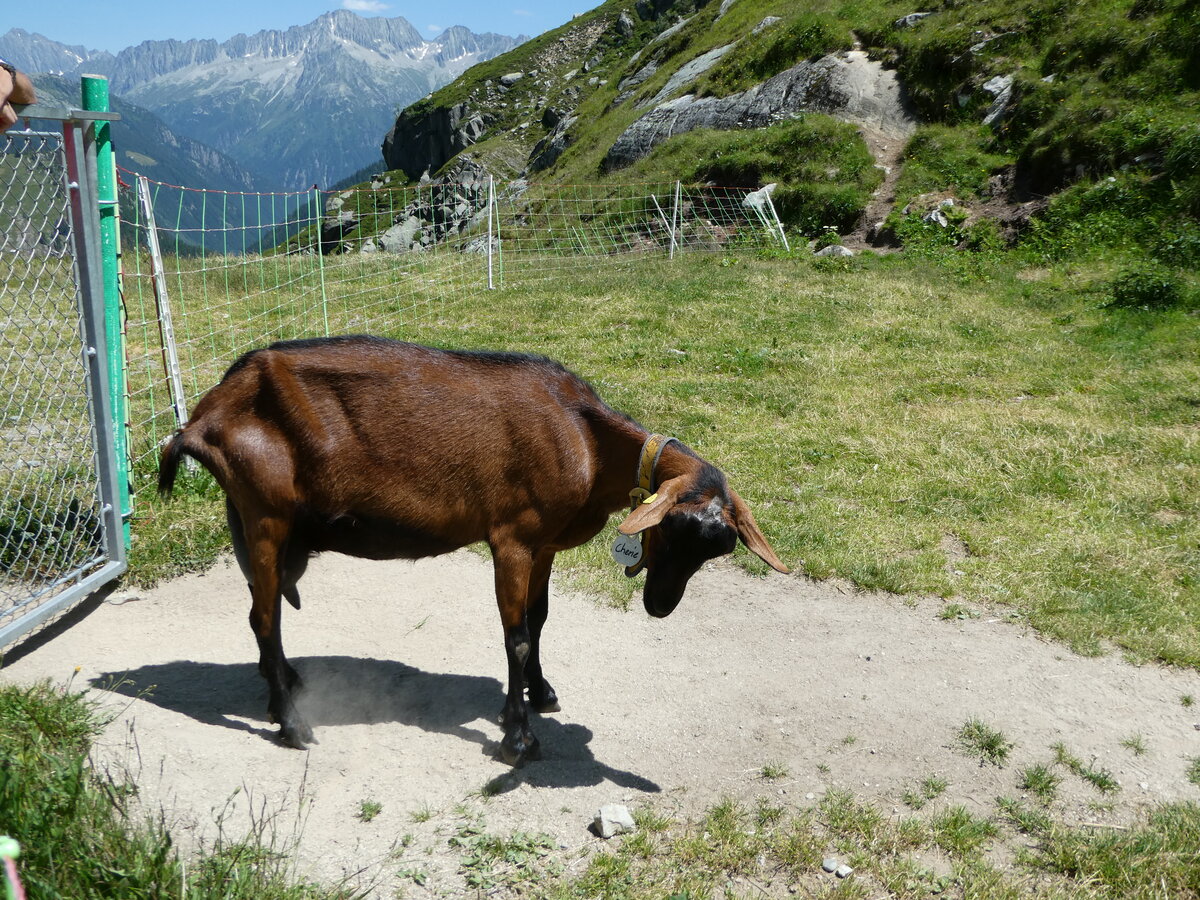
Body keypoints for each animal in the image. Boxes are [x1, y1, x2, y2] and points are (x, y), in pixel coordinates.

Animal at [158, 335, 788, 764]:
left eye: (718, 548)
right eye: (673, 529)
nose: (659, 605)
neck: (584, 439)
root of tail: (204, 416)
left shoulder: (545, 543)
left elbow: (540, 618)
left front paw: (540, 692)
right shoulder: (512, 536)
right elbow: (515, 635)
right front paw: (518, 736)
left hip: (259, 521)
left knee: (261, 610)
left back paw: (283, 688)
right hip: (265, 512)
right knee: (264, 616)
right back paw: (292, 725)